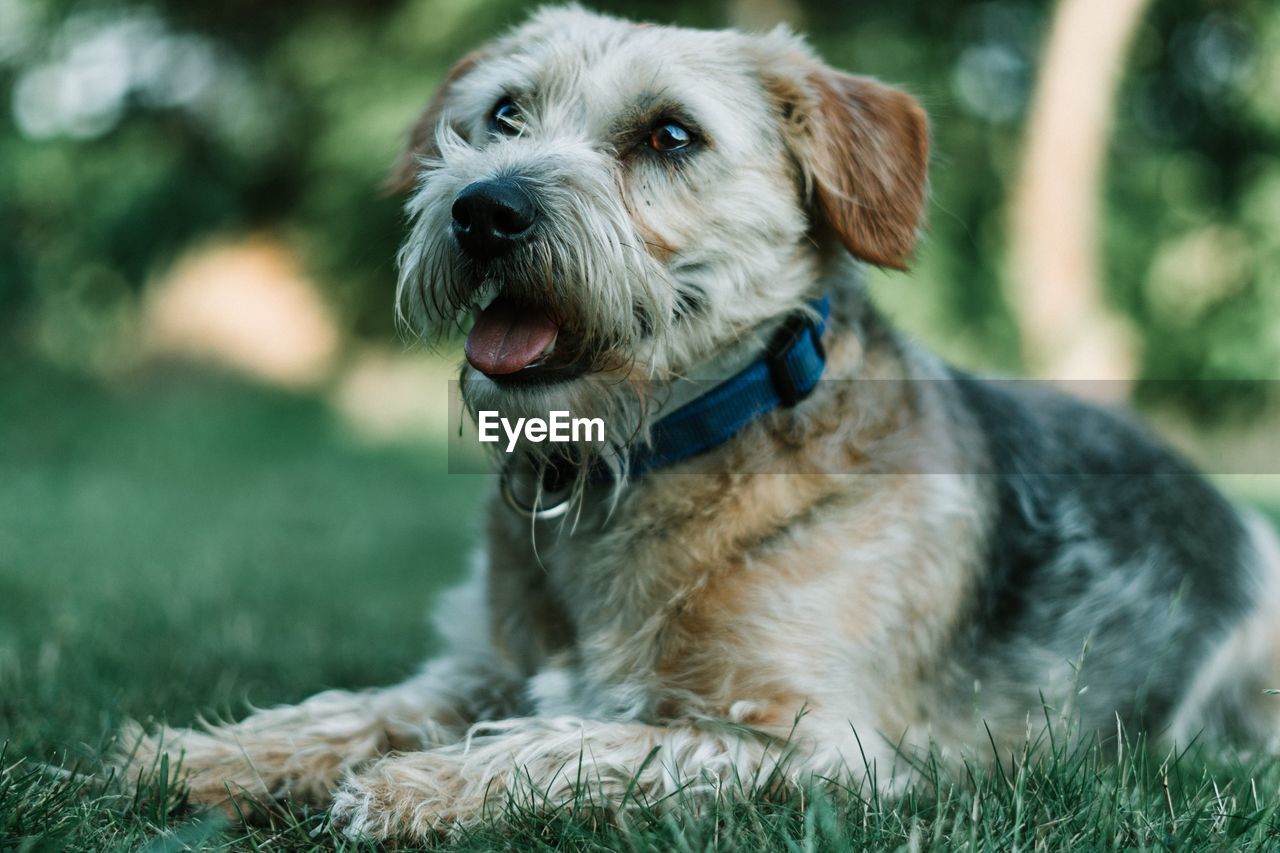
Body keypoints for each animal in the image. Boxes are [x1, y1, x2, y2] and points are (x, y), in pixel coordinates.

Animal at [124, 1, 1280, 835]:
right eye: (503, 114)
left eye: (669, 135)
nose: (483, 208)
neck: (634, 464)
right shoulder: (479, 664)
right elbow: (362, 706)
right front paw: (209, 754)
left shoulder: (810, 747)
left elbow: (575, 742)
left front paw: (420, 788)